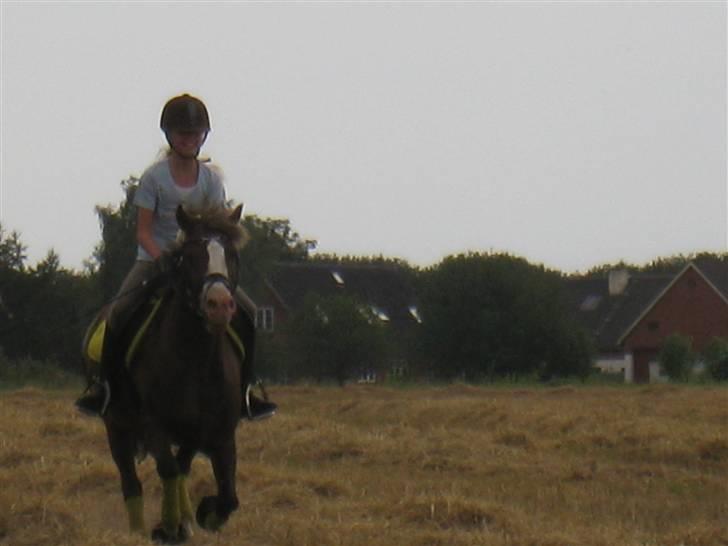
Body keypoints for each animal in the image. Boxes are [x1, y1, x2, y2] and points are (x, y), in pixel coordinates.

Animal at [89, 203, 249, 540]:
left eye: (232, 255)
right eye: (190, 256)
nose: (219, 304)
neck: (195, 358)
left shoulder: (217, 432)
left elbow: (227, 494)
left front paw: (204, 514)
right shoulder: (154, 426)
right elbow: (169, 470)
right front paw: (168, 528)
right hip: (116, 427)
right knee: (131, 481)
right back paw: (138, 530)